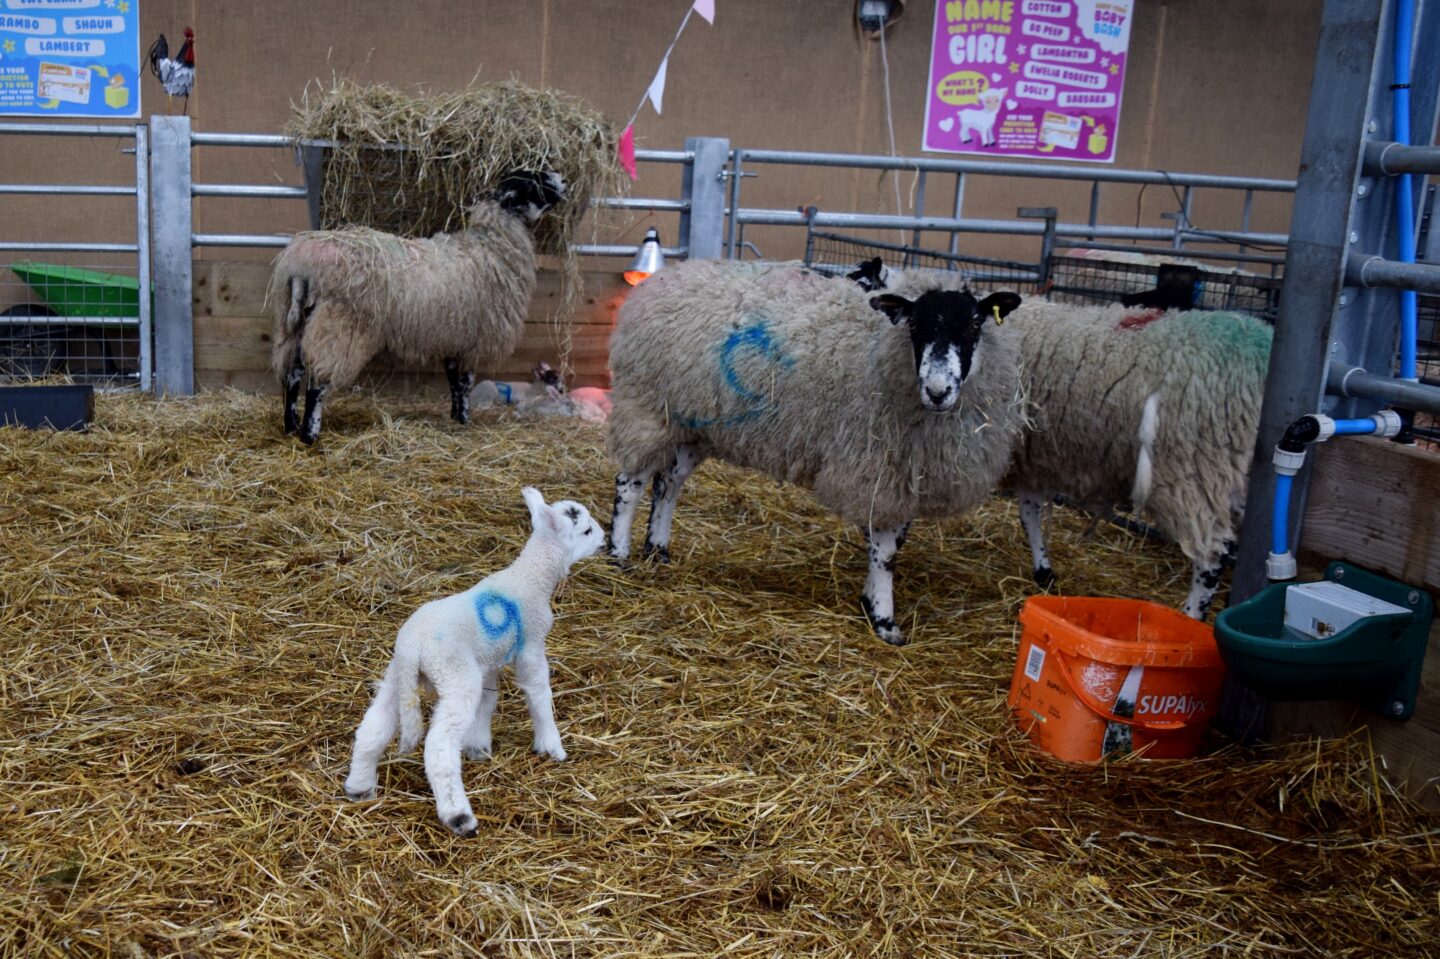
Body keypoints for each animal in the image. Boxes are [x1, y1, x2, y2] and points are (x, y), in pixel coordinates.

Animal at [269, 171, 566, 444]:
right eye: (533, 183)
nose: (562, 180)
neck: (491, 247)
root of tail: (300, 266)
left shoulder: (454, 337)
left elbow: (453, 381)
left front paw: (455, 417)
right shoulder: (474, 340)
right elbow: (465, 383)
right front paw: (465, 420)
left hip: (296, 324)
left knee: (292, 375)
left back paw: (290, 426)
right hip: (338, 327)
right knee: (317, 384)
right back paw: (309, 435)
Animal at [343, 486, 605, 837]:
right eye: (586, 530)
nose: (604, 540)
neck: (531, 576)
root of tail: (413, 645)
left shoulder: (488, 660)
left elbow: (488, 700)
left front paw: (478, 745)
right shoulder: (531, 645)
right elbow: (538, 692)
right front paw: (552, 746)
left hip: (400, 678)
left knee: (373, 727)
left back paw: (360, 787)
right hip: (454, 676)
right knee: (438, 747)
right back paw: (459, 816)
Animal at [605, 258, 1024, 645]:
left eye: (975, 323)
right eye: (914, 325)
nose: (938, 391)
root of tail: (668, 276)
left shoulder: (907, 471)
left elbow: (893, 543)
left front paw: (869, 601)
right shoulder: (878, 465)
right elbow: (885, 551)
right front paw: (883, 619)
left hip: (693, 423)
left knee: (668, 484)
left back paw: (658, 549)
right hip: (646, 407)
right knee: (631, 483)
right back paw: (619, 553)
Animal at [1001, 303, 1273, 619]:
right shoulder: (1028, 457)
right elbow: (1028, 513)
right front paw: (1043, 570)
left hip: (1196, 472)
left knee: (1212, 555)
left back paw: (1191, 615)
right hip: (1236, 477)